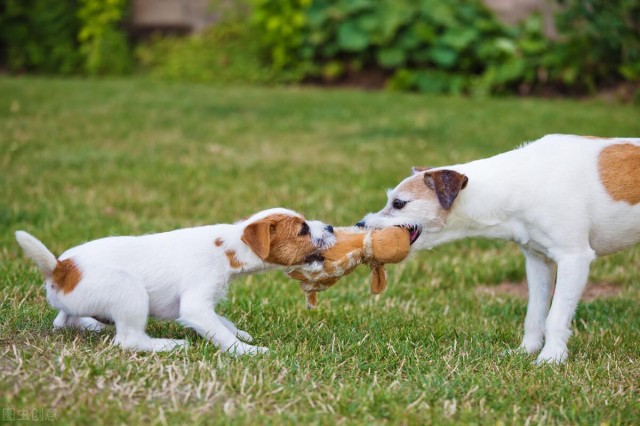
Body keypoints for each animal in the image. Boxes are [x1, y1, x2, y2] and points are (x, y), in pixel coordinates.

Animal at [15, 208, 336, 354]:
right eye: (302, 230)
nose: (332, 226)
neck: (229, 246)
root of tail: (61, 269)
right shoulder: (196, 306)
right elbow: (220, 333)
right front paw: (247, 351)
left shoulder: (203, 305)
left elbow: (223, 321)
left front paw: (241, 334)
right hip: (129, 290)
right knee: (129, 340)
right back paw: (169, 344)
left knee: (63, 320)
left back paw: (92, 324)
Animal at [358, 134, 640, 362]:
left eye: (399, 203)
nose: (360, 224)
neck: (521, 183)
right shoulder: (538, 261)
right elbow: (534, 314)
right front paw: (526, 351)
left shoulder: (574, 258)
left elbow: (556, 315)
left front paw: (550, 358)